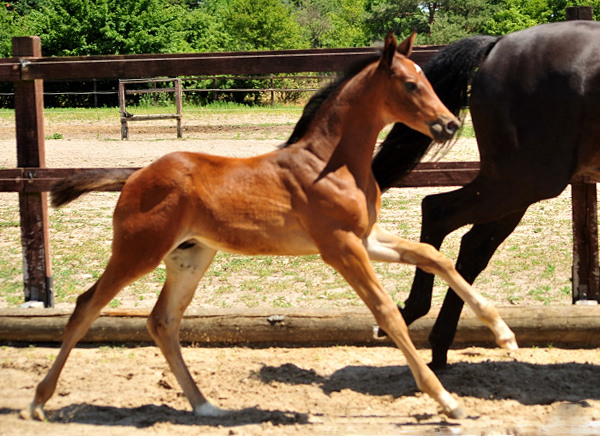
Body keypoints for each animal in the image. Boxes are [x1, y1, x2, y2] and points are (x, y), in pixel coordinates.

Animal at [19, 32, 516, 420]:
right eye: (411, 84)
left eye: (429, 80)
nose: (449, 124)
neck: (329, 164)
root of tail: (136, 175)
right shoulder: (341, 247)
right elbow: (387, 314)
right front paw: (446, 401)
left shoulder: (366, 238)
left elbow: (432, 257)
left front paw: (503, 333)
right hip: (137, 251)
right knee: (86, 306)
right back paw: (40, 401)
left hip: (190, 255)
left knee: (162, 321)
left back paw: (205, 406)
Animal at [372, 20, 596, 368]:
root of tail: (498, 44)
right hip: (522, 181)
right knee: (437, 211)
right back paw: (413, 314)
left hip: (515, 188)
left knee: (473, 246)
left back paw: (438, 344)